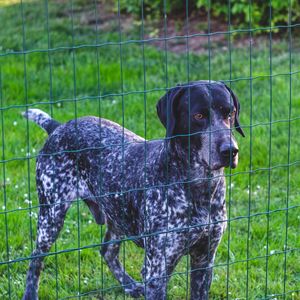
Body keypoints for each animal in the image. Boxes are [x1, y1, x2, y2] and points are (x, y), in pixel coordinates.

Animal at [22, 81, 244, 300]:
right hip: (51, 217)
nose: (230, 150)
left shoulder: (204, 261)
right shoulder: (156, 272)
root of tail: (59, 127)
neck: (201, 188)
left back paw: (129, 286)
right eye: (198, 116)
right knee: (36, 259)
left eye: (230, 112)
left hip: (117, 216)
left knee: (107, 251)